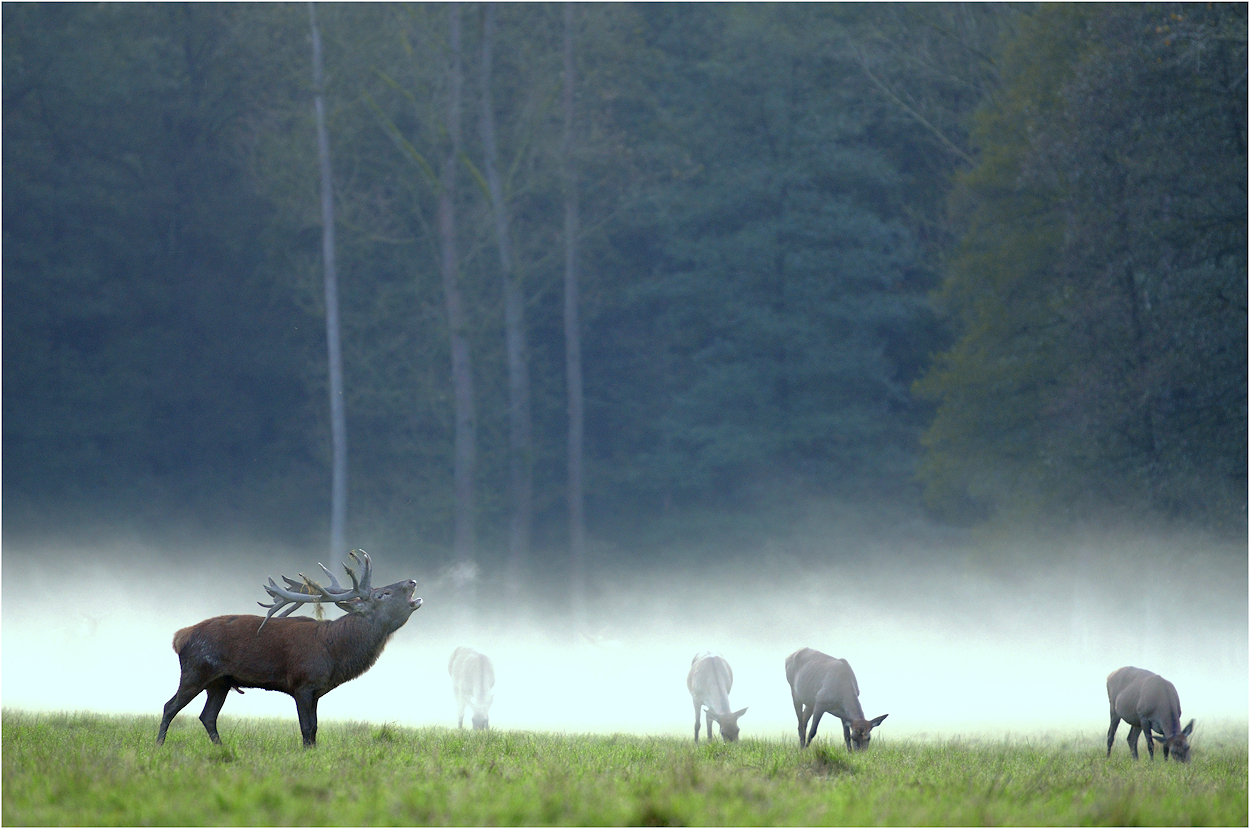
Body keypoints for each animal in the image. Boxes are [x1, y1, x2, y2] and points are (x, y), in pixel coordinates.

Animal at [154, 547, 420, 750]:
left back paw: (221, 748)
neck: (335, 652)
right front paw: (306, 754)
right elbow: (307, 727)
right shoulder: (302, 683)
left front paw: (313, 752)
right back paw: (158, 746)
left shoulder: (316, 691)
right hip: (196, 670)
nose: (412, 581)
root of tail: (180, 637)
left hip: (220, 682)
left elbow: (315, 728)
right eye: (382, 594)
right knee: (170, 706)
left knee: (207, 716)